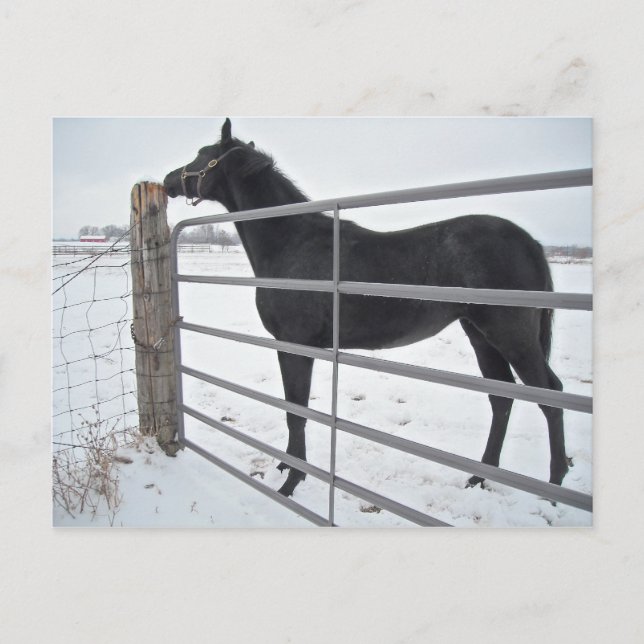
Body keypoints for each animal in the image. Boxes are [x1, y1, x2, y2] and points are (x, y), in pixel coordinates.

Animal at [163, 118, 570, 498]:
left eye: (202, 154)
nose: (169, 180)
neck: (292, 242)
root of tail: (530, 242)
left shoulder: (295, 345)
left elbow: (297, 412)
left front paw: (292, 482)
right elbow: (294, 409)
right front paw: (287, 467)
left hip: (511, 334)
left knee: (551, 396)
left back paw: (555, 484)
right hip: (480, 334)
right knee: (502, 399)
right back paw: (478, 478)